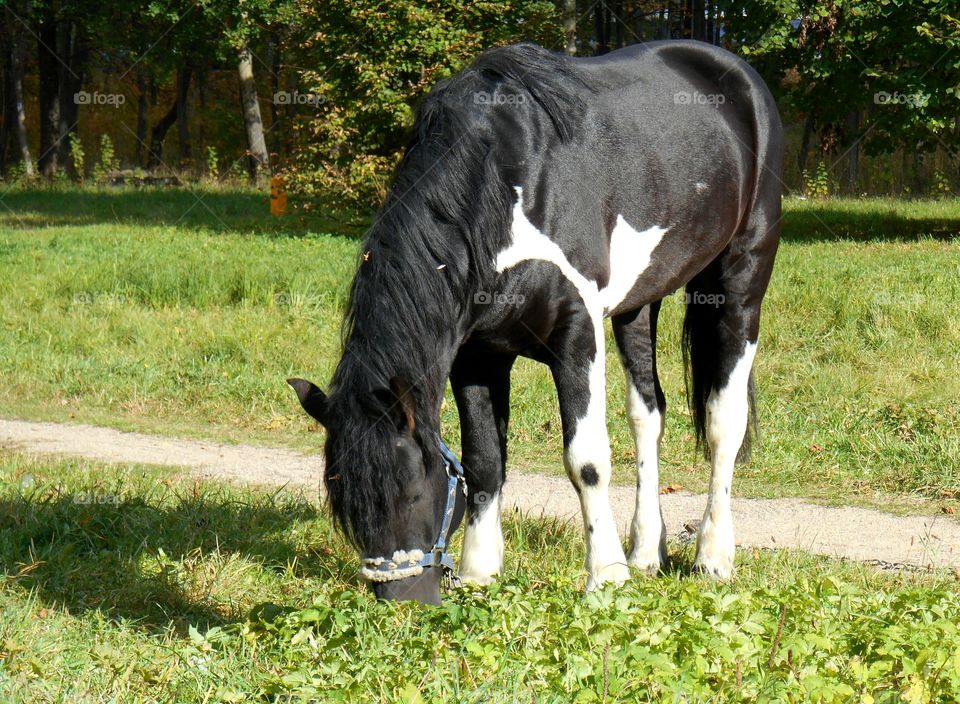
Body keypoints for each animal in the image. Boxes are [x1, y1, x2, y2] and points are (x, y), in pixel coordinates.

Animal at [288, 38, 784, 604]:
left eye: (411, 491)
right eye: (344, 504)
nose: (404, 602)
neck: (506, 187)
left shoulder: (577, 336)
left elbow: (586, 460)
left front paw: (605, 575)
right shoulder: (477, 355)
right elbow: (484, 460)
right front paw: (480, 569)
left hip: (742, 278)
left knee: (725, 420)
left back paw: (712, 557)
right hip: (639, 303)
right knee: (647, 414)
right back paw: (646, 554)